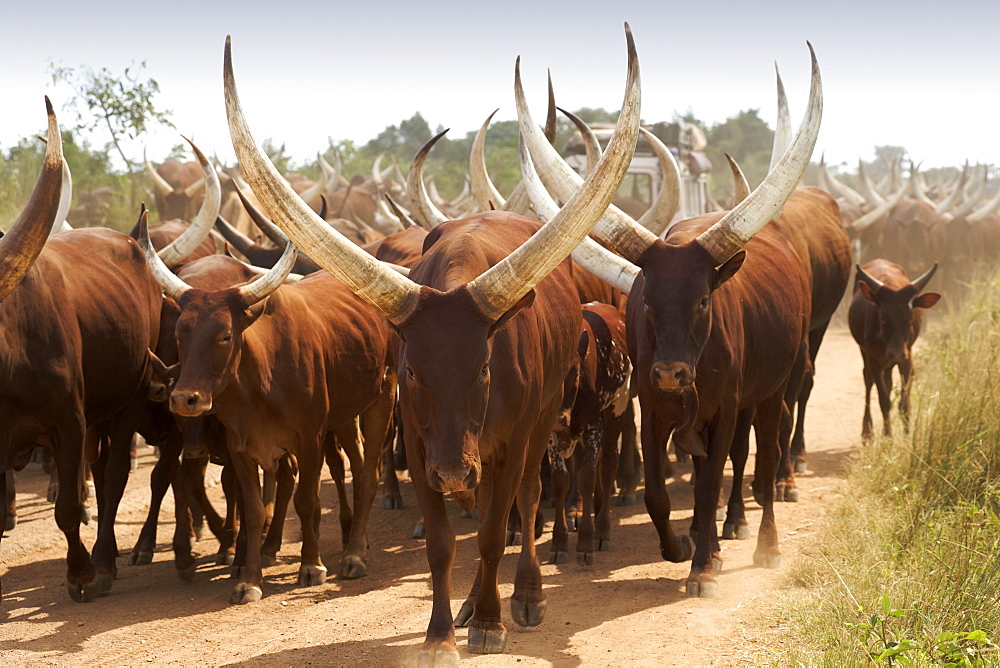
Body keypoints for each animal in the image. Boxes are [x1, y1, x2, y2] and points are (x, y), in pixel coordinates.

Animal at [0, 102, 162, 604]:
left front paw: (82, 574)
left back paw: (106, 560)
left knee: (113, 476)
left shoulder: (68, 421)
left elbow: (70, 508)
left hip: (129, 398)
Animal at [224, 24, 636, 656]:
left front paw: (491, 621)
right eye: (413, 371)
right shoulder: (418, 445)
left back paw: (523, 596)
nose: (452, 475)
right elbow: (443, 542)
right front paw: (443, 631)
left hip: (538, 423)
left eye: (485, 367)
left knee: (524, 503)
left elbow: (494, 531)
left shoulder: (510, 440)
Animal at [848, 258, 940, 440]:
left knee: (889, 382)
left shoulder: (906, 357)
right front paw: (888, 436)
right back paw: (867, 431)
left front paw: (906, 436)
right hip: (865, 353)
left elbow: (904, 403)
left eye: (910, 318)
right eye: (882, 317)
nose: (895, 353)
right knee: (868, 381)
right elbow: (884, 400)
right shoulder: (874, 359)